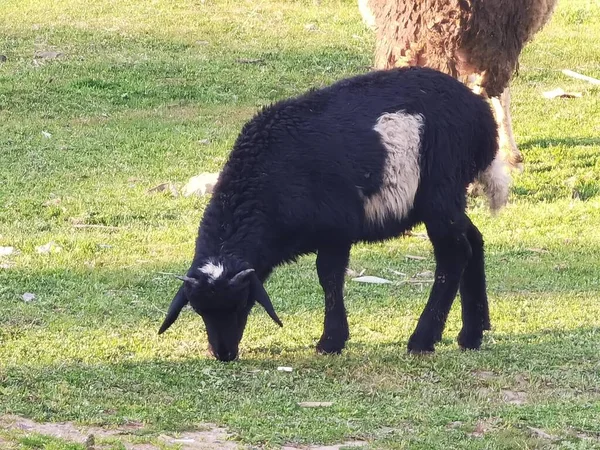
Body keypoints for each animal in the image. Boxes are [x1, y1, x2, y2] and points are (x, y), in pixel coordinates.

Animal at [157, 66, 508, 362]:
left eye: (242, 303)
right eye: (200, 311)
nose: (223, 354)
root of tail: (482, 117)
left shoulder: (337, 228)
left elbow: (328, 277)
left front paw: (331, 341)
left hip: (440, 191)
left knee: (454, 255)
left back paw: (423, 339)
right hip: (448, 198)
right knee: (474, 241)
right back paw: (472, 332)